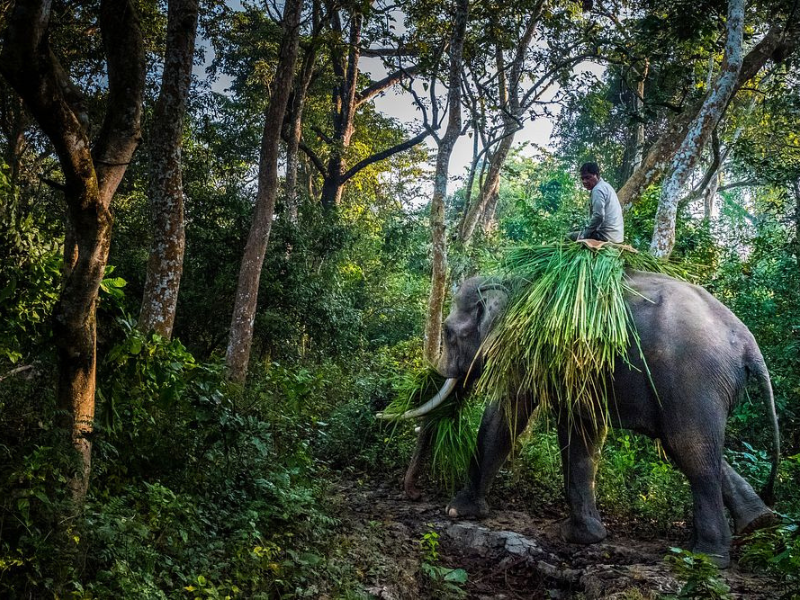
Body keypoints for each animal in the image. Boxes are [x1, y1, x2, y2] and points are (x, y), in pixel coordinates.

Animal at [384, 272, 780, 568]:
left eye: (450, 332)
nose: (412, 493)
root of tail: (748, 343)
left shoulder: (532, 345)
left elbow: (510, 413)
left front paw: (458, 511)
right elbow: (584, 428)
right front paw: (587, 537)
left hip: (693, 379)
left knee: (690, 452)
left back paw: (706, 559)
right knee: (685, 446)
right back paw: (759, 523)